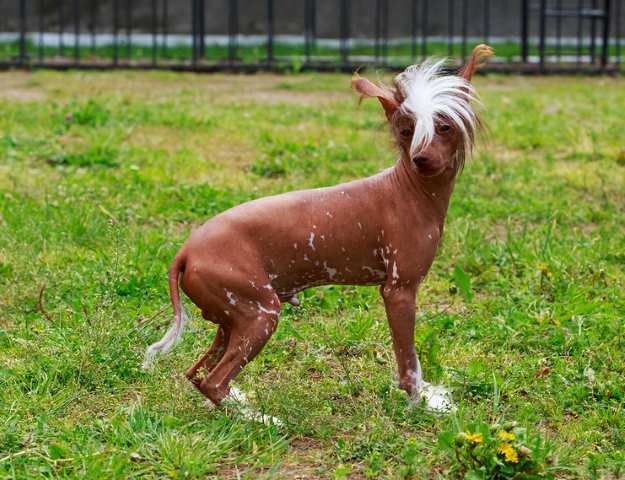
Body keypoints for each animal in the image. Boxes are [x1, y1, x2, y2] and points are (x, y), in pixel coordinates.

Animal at [143, 45, 492, 410]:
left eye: (445, 127)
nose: (420, 158)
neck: (410, 190)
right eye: (406, 130)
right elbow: (409, 361)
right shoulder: (399, 291)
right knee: (214, 380)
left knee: (196, 373)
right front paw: (418, 402)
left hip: (230, 320)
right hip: (259, 315)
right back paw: (261, 417)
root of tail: (185, 251)